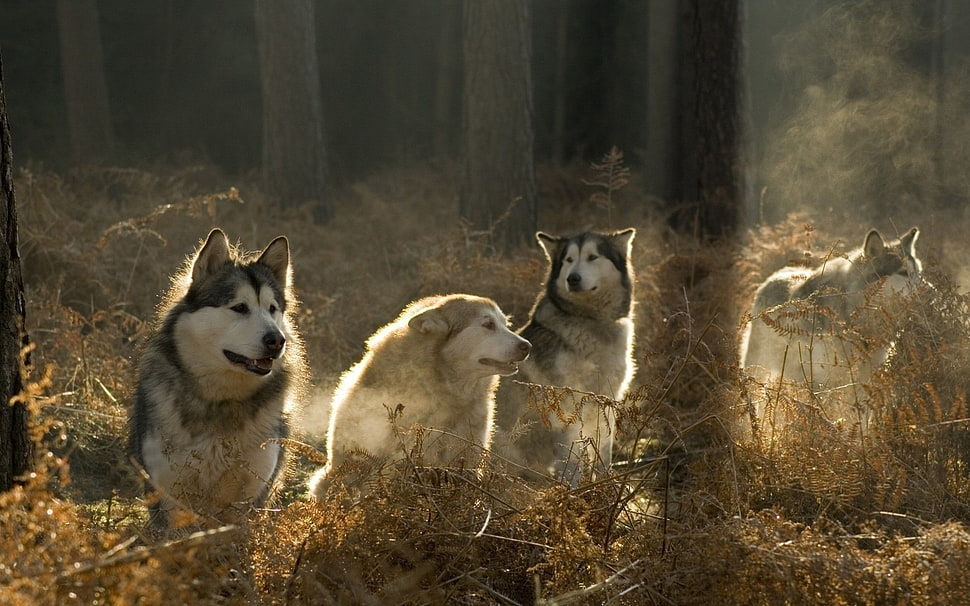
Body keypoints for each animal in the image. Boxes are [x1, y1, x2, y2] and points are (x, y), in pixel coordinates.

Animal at [128, 228, 307, 527]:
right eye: (240, 307)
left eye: (272, 308)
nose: (277, 340)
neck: (220, 401)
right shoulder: (170, 497)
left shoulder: (249, 498)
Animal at [494, 228, 636, 481]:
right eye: (569, 260)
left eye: (592, 257)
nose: (573, 278)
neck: (589, 320)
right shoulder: (567, 403)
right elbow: (571, 458)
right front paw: (574, 487)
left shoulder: (607, 399)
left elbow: (604, 450)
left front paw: (605, 483)